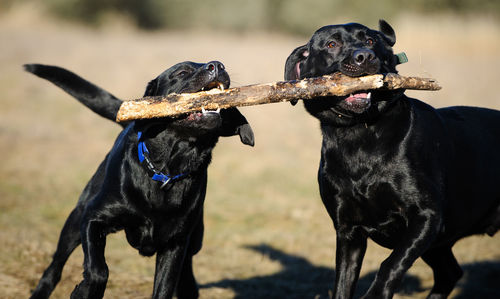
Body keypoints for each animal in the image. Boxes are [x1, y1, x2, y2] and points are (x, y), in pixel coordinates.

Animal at [24, 61, 254, 299]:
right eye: (182, 72)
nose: (217, 65)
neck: (168, 172)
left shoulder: (175, 244)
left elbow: (164, 288)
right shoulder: (92, 218)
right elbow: (98, 270)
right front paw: (84, 291)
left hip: (195, 238)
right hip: (75, 219)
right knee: (54, 267)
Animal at [286, 19, 500, 298]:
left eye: (370, 40)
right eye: (332, 44)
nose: (364, 56)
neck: (359, 137)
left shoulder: (427, 216)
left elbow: (390, 264)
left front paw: (375, 294)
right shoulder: (348, 232)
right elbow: (342, 283)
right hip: (436, 248)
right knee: (450, 272)